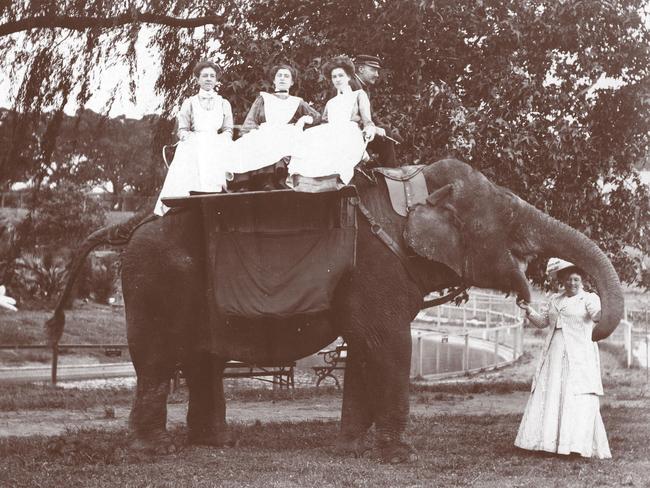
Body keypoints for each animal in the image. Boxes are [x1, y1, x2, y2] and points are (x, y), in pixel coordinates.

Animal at [48, 159, 620, 462]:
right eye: (508, 223)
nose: (539, 296)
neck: (410, 186)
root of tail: (134, 223)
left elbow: (368, 346)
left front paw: (350, 447)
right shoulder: (379, 267)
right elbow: (389, 344)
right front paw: (399, 457)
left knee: (200, 361)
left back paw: (215, 443)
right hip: (155, 283)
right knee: (157, 362)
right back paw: (152, 452)